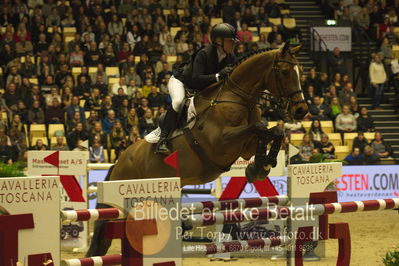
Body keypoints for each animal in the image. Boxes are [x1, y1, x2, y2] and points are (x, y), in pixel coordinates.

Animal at [86, 42, 308, 256]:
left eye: (301, 71)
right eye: (285, 72)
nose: (301, 110)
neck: (237, 97)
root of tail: (119, 162)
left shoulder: (245, 146)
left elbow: (273, 131)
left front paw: (261, 166)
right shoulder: (221, 142)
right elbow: (260, 127)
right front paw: (259, 166)